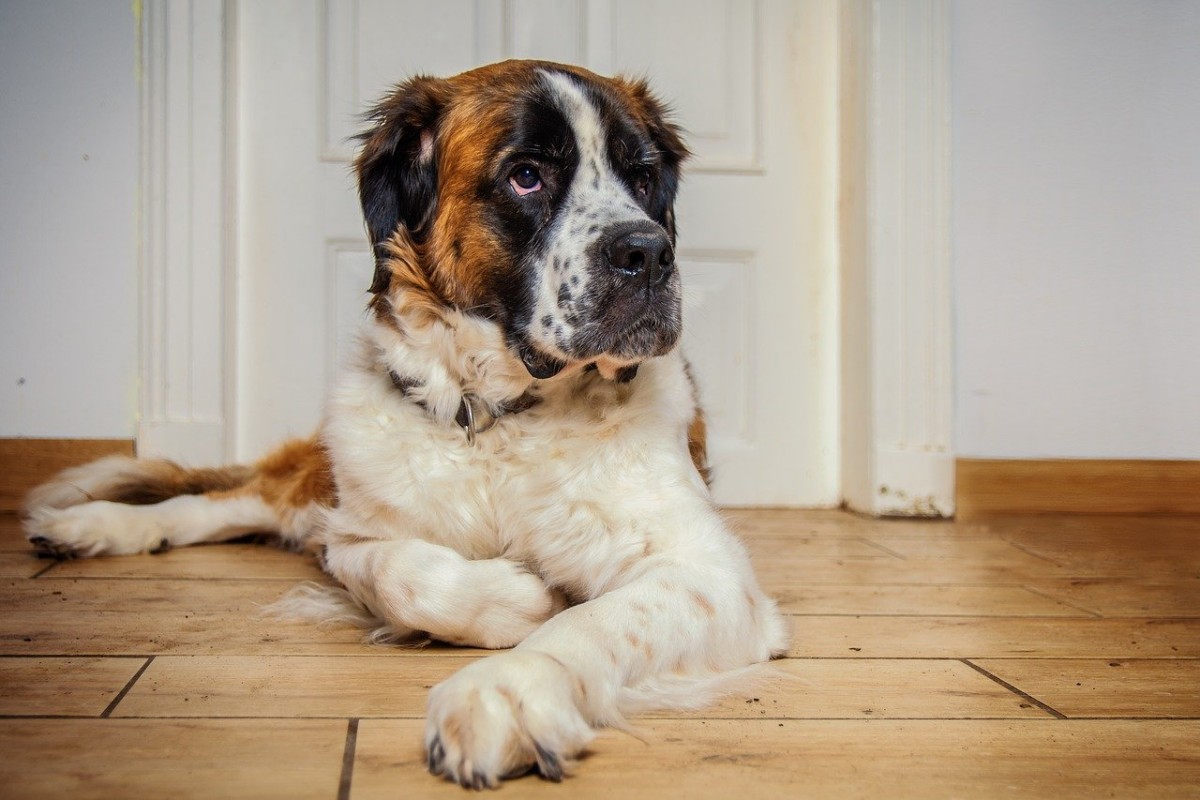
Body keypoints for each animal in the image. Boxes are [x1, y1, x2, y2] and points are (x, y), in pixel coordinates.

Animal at [23, 61, 792, 786]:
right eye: (527, 176)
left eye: (643, 176)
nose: (650, 252)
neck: (498, 419)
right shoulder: (353, 534)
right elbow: (402, 573)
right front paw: (518, 598)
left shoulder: (708, 573)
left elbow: (592, 622)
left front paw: (506, 690)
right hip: (314, 488)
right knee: (217, 503)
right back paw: (88, 527)